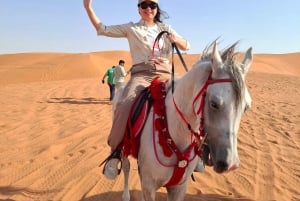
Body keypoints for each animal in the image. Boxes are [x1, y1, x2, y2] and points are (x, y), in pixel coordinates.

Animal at [113, 42, 252, 201]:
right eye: (214, 104)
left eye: (246, 107)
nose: (231, 164)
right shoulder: (149, 186)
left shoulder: (179, 187)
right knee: (125, 165)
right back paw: (125, 194)